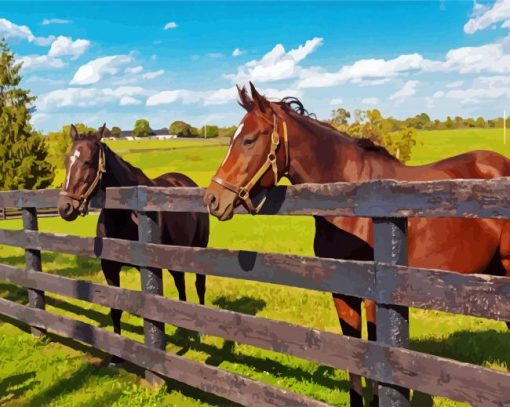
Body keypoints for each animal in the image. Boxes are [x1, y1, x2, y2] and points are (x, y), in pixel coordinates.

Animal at [58, 125, 210, 364]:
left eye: (88, 162)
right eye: (66, 160)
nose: (65, 207)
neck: (125, 213)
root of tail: (187, 182)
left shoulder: (149, 267)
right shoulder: (110, 267)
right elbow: (115, 308)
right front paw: (116, 356)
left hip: (199, 249)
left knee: (199, 285)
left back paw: (200, 332)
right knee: (180, 283)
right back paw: (181, 328)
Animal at [203, 82, 510, 404]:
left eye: (249, 139)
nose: (213, 199)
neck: (350, 201)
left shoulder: (374, 297)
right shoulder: (342, 291)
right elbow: (352, 354)